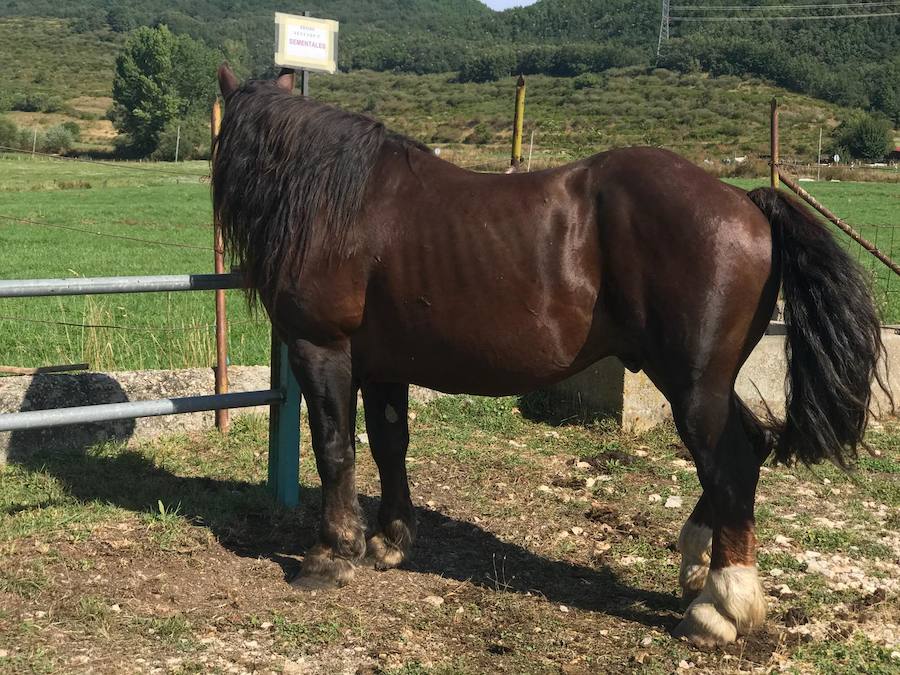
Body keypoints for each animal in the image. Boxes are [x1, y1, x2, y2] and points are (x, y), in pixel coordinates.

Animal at [209, 64, 884, 648]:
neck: (339, 201)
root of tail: (747, 203)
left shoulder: (322, 349)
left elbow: (334, 448)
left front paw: (330, 554)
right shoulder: (383, 366)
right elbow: (388, 443)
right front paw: (390, 541)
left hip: (693, 384)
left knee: (732, 460)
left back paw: (721, 605)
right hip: (708, 380)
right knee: (747, 449)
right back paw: (698, 564)